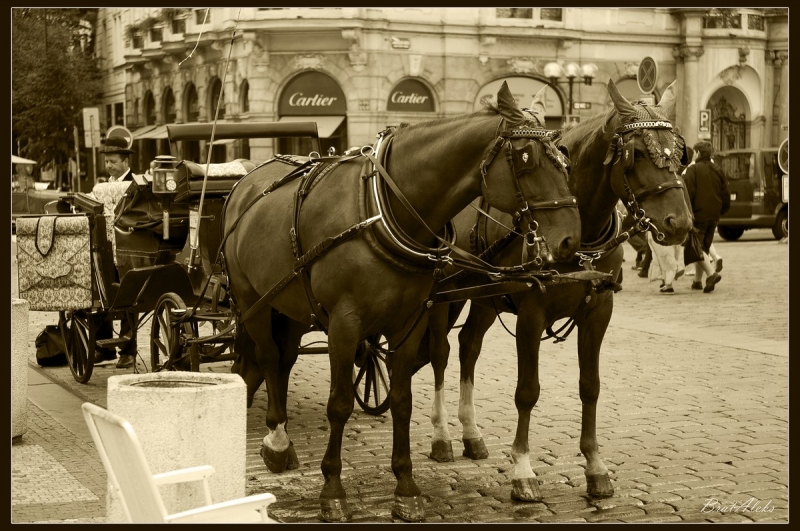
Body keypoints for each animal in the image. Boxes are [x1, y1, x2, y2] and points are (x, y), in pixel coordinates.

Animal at [223, 83, 580, 524]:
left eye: (564, 158)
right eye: (526, 158)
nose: (570, 240)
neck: (381, 210)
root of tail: (247, 179)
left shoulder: (408, 322)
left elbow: (402, 401)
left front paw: (406, 486)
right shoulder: (344, 323)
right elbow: (339, 404)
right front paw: (332, 490)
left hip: (288, 305)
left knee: (284, 359)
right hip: (251, 298)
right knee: (270, 358)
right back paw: (277, 439)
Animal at [418, 78, 692, 502]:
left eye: (680, 153)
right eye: (639, 154)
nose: (681, 224)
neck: (580, 238)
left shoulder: (598, 312)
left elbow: (590, 387)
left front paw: (596, 467)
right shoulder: (532, 314)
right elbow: (527, 391)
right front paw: (522, 470)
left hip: (485, 296)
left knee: (469, 346)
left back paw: (471, 433)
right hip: (441, 296)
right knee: (440, 354)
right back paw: (442, 435)